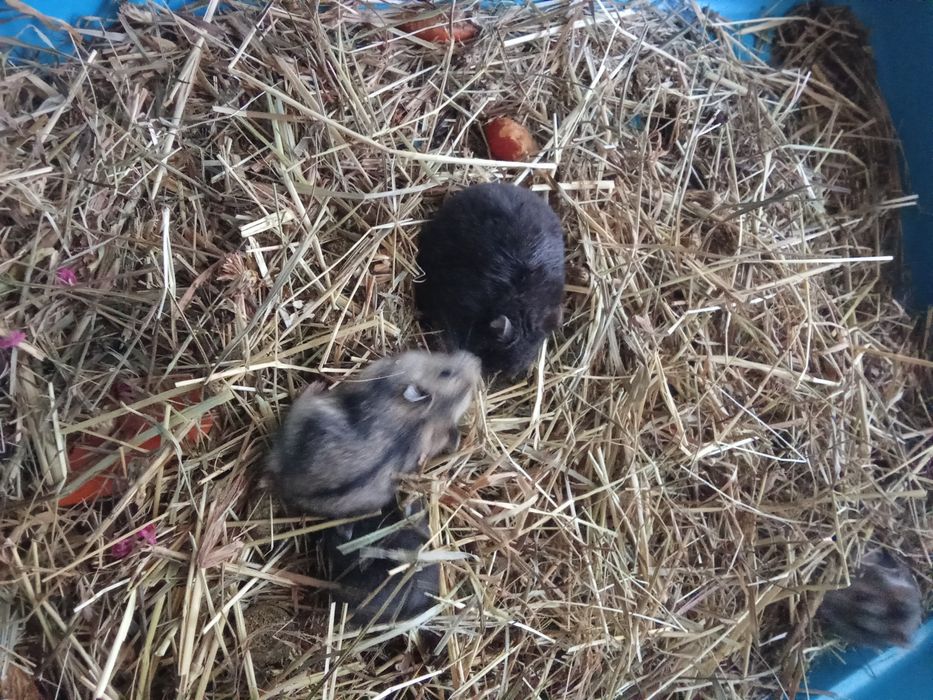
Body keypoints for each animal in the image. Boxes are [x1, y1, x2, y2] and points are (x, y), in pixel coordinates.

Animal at [265, 350, 480, 519]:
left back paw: (316, 385)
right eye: (447, 373)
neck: (426, 416)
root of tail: (287, 485)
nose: (477, 361)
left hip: (303, 414)